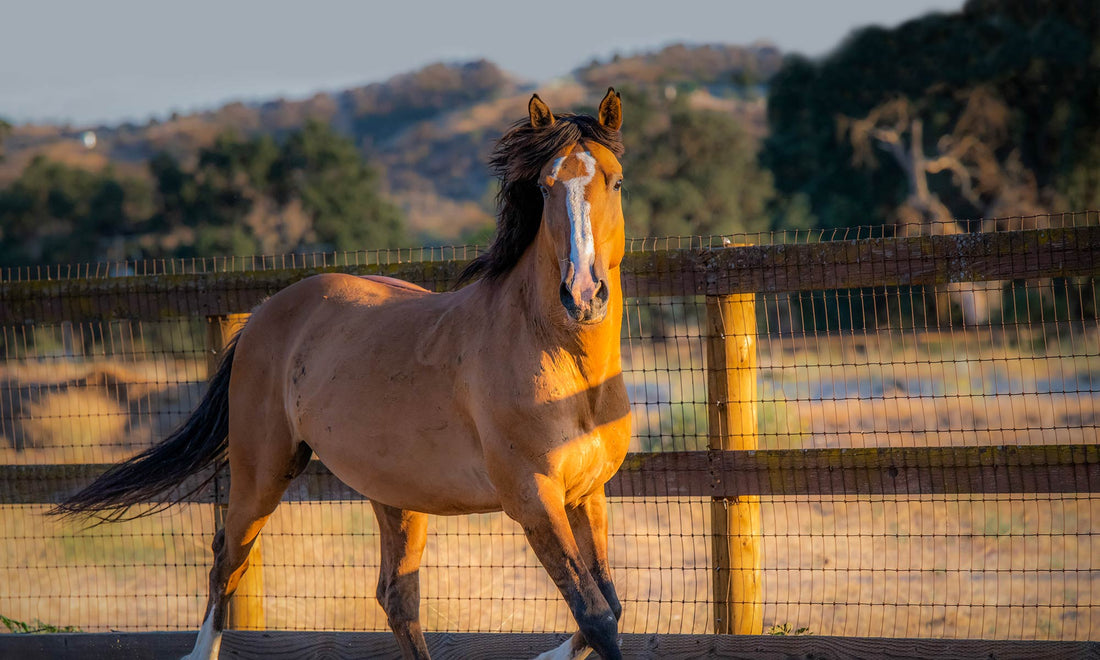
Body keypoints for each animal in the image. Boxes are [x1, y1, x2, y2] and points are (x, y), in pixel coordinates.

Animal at [53, 88, 631, 660]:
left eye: (616, 180)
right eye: (544, 187)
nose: (582, 295)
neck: (562, 365)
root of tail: (263, 314)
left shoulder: (587, 496)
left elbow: (610, 605)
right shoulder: (534, 500)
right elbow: (596, 615)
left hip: (395, 495)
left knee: (397, 597)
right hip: (262, 473)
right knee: (226, 563)